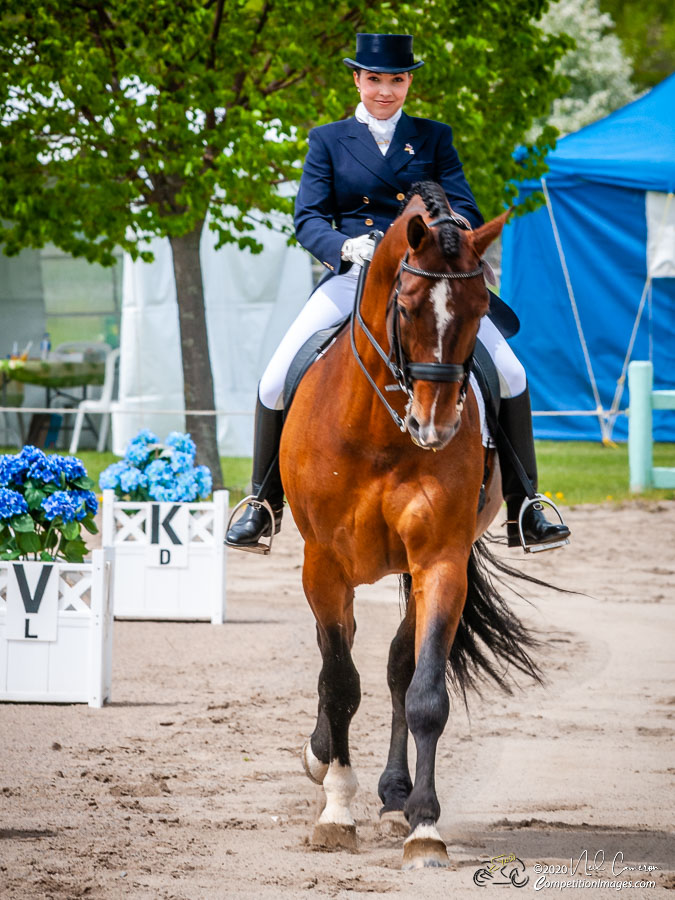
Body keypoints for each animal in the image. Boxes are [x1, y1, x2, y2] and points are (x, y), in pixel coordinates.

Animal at [278, 181, 540, 864]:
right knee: (339, 654)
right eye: (408, 305)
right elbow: (340, 682)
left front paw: (425, 825)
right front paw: (336, 811)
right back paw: (323, 758)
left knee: (399, 665)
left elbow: (424, 692)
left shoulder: (440, 560)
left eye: (481, 308)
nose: (437, 427)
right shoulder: (323, 564)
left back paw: (395, 795)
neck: (380, 429)